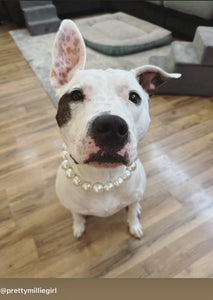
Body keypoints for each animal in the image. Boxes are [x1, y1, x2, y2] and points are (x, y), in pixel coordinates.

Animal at [50, 19, 181, 239]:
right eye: (76, 95)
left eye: (134, 97)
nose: (111, 126)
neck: (103, 180)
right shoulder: (71, 204)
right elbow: (76, 214)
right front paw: (78, 226)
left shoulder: (135, 195)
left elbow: (132, 212)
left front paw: (134, 224)